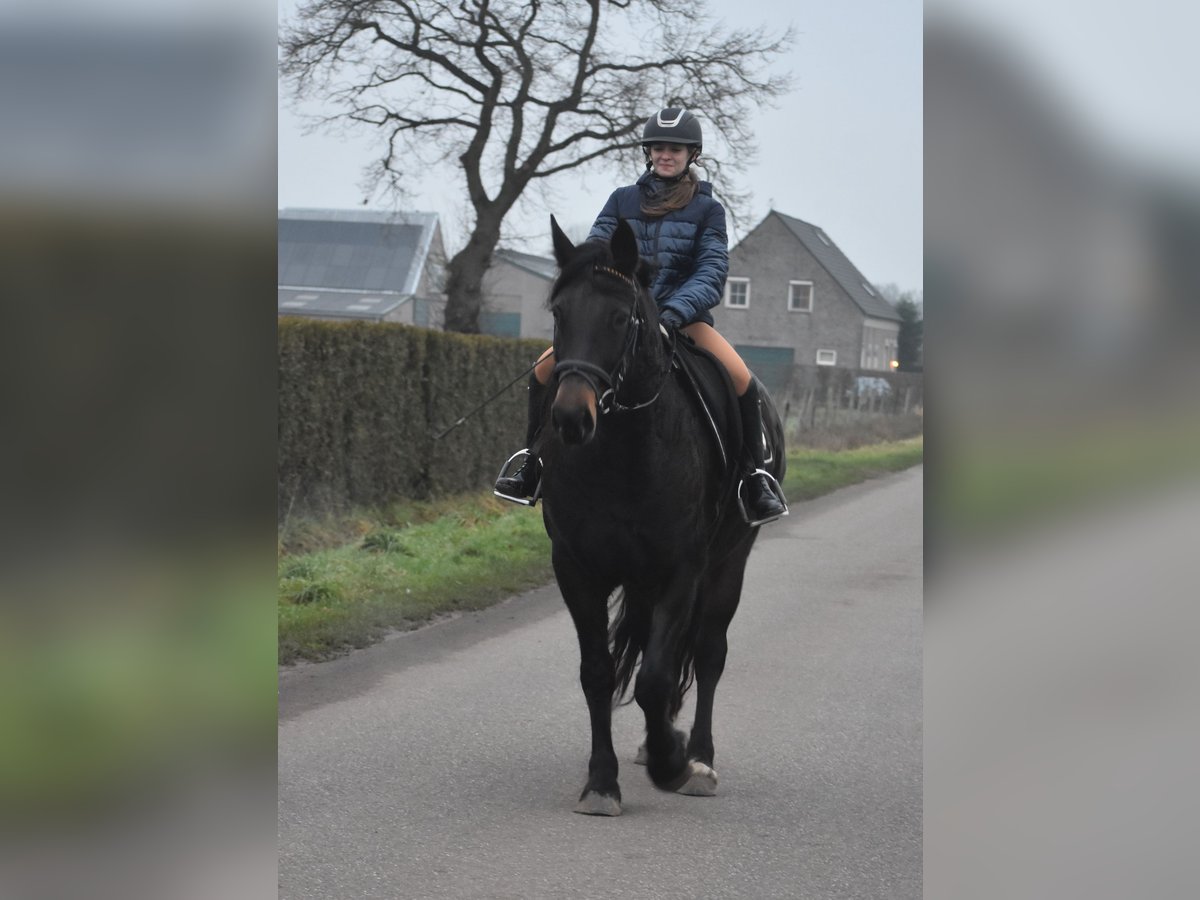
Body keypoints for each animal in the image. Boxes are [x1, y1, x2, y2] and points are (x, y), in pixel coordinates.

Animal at [537, 218, 782, 816]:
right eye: (559, 313)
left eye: (620, 317)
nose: (571, 418)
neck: (622, 451)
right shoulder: (577, 569)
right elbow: (599, 673)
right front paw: (601, 783)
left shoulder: (681, 570)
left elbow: (654, 679)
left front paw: (673, 762)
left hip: (727, 565)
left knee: (710, 654)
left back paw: (698, 759)